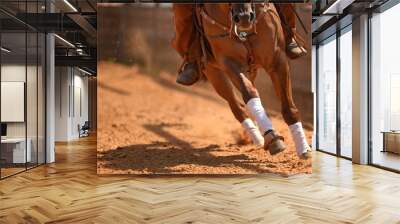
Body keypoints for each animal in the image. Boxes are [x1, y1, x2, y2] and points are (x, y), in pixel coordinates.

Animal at [195, 2, 310, 158]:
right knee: (237, 107)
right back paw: (257, 137)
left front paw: (304, 149)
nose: (244, 17)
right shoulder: (230, 63)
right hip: (214, 73)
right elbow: (249, 93)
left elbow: (288, 107)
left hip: (251, 69)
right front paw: (272, 138)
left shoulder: (277, 60)